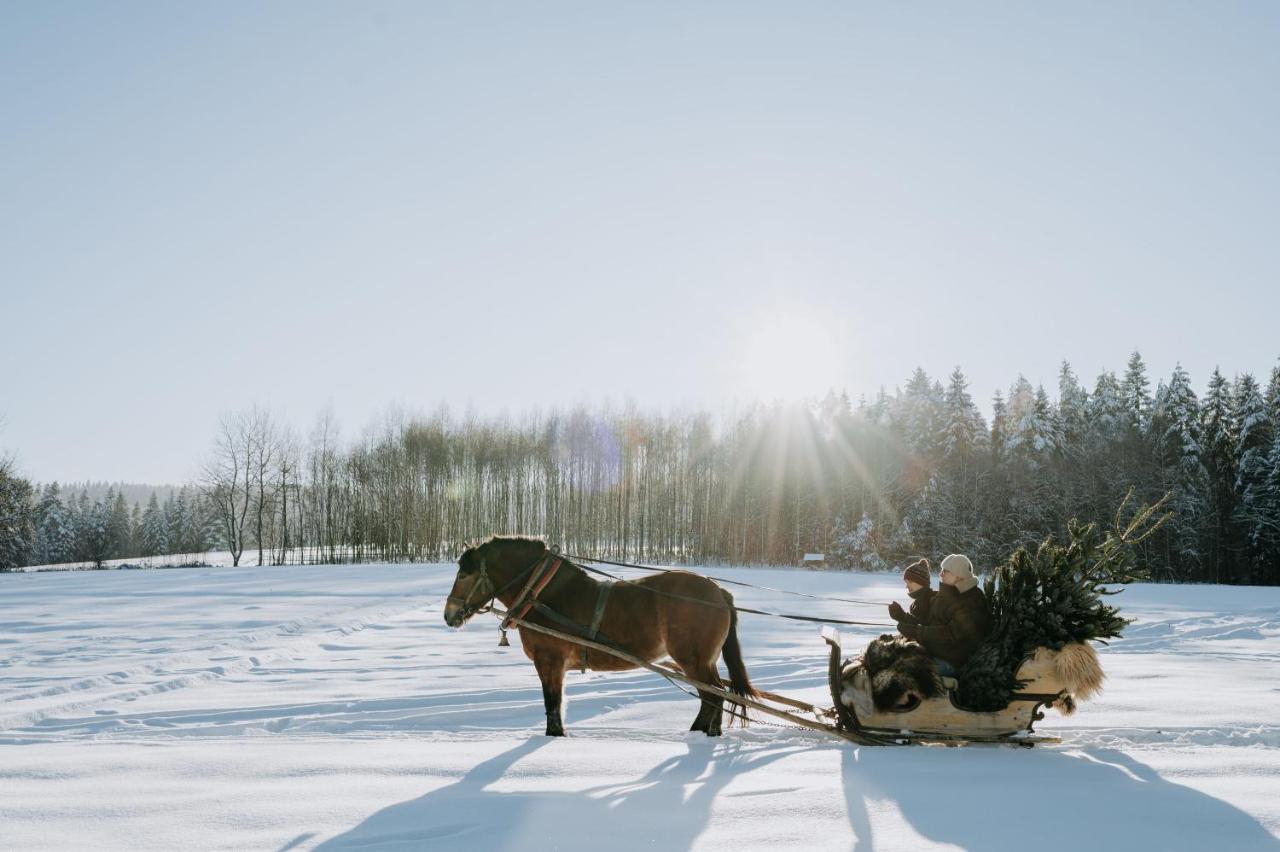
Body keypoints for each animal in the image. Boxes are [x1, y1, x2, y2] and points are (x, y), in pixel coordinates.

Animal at [445, 537, 752, 731]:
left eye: (464, 574)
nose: (449, 614)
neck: (544, 594)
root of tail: (719, 593)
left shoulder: (549, 661)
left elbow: (553, 707)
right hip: (703, 661)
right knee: (718, 694)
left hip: (692, 660)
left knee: (713, 696)